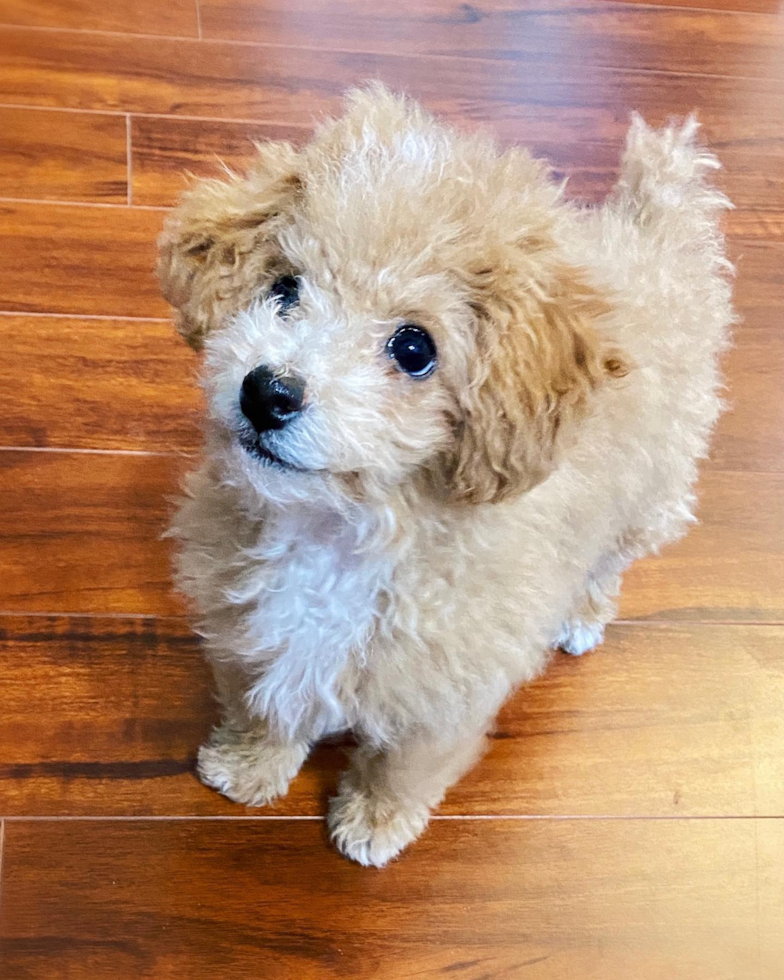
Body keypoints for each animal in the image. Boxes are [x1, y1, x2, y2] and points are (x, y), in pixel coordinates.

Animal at [159, 84, 736, 864]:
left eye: (414, 349)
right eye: (283, 288)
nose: (267, 391)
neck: (344, 530)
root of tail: (654, 240)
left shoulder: (446, 685)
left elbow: (404, 763)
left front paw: (375, 823)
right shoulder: (253, 632)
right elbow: (264, 704)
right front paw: (247, 768)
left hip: (651, 494)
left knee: (609, 562)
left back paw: (582, 617)